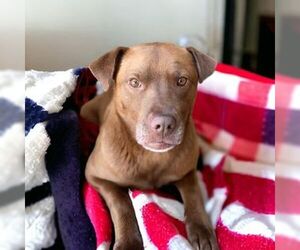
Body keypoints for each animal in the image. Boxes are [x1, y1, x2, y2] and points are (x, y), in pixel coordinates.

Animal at [81, 43, 219, 250]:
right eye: (134, 82)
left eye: (182, 81)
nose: (163, 124)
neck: (151, 156)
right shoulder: (96, 176)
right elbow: (121, 202)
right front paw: (128, 242)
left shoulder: (187, 172)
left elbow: (193, 193)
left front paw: (201, 228)